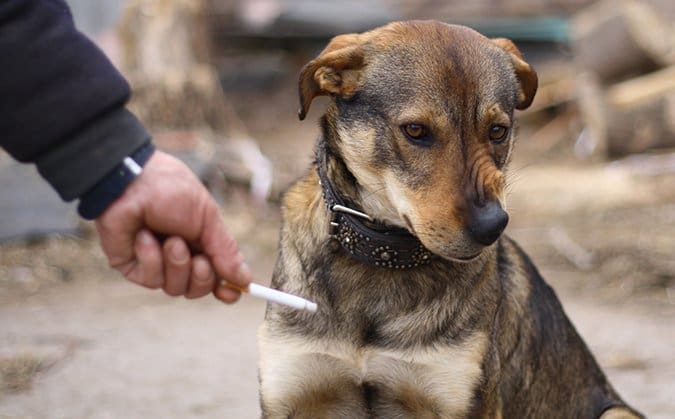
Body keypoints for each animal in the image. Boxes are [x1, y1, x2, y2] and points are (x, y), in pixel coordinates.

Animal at [258, 20, 644, 419]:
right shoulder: (293, 394)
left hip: (617, 412)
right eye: (415, 130)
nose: (493, 226)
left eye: (498, 131)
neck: (380, 259)